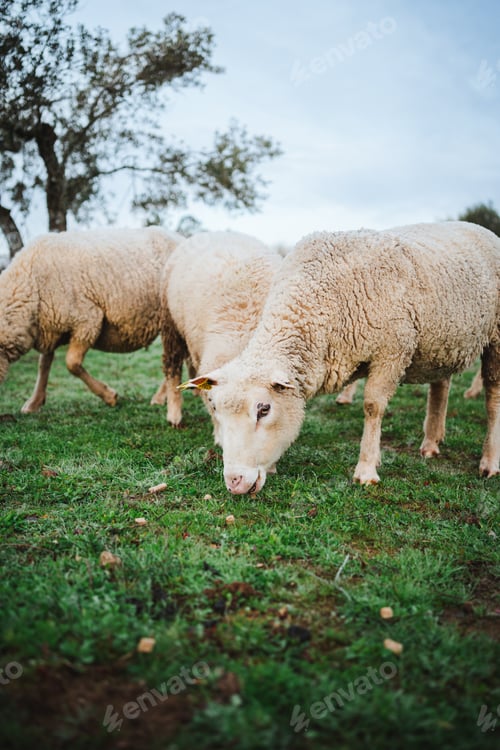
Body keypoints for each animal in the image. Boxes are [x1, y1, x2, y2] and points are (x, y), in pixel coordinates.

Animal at [0, 227, 180, 411]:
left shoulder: (88, 320)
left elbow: (72, 363)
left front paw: (110, 396)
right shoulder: (50, 326)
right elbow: (44, 364)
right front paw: (34, 402)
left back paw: (160, 397)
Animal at [159, 230, 282, 429]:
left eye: (263, 408)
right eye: (213, 405)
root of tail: (213, 233)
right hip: (170, 325)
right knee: (172, 367)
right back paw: (174, 415)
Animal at [181, 221, 500, 492]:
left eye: (264, 409)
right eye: (215, 409)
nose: (234, 482)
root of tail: (480, 228)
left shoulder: (392, 351)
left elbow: (373, 407)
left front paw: (367, 470)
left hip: (495, 338)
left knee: (493, 398)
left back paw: (489, 462)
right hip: (442, 342)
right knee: (441, 385)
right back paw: (431, 442)